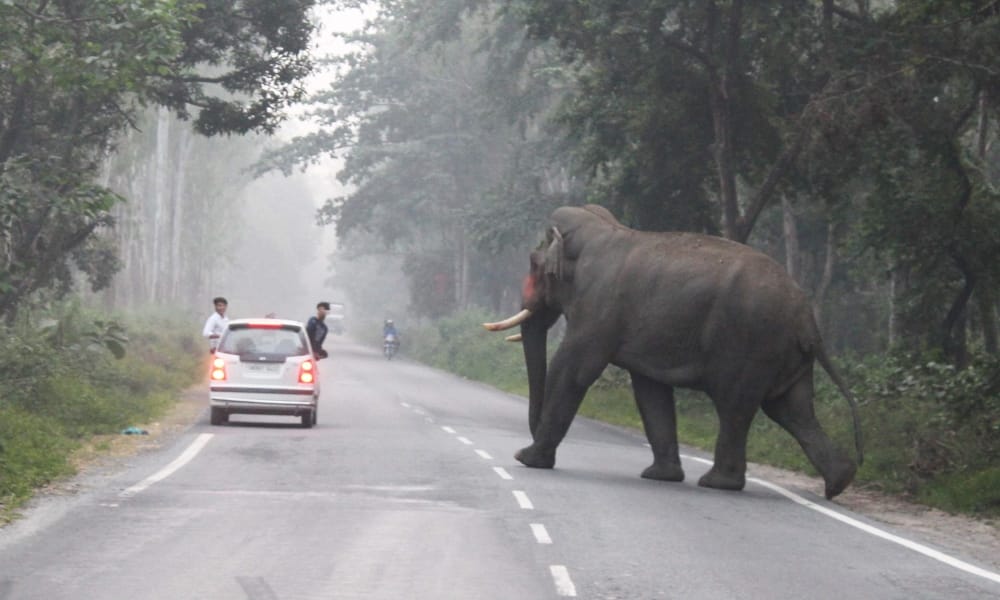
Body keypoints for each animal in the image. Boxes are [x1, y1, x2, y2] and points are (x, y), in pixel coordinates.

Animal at [484, 204, 863, 499]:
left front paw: (526, 459)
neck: (601, 227)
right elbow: (649, 390)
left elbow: (574, 370)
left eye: (533, 264)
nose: (528, 440)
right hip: (784, 354)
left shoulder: (598, 308)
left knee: (736, 406)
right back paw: (839, 482)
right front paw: (661, 476)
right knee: (792, 409)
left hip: (750, 344)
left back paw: (718, 484)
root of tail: (807, 317)